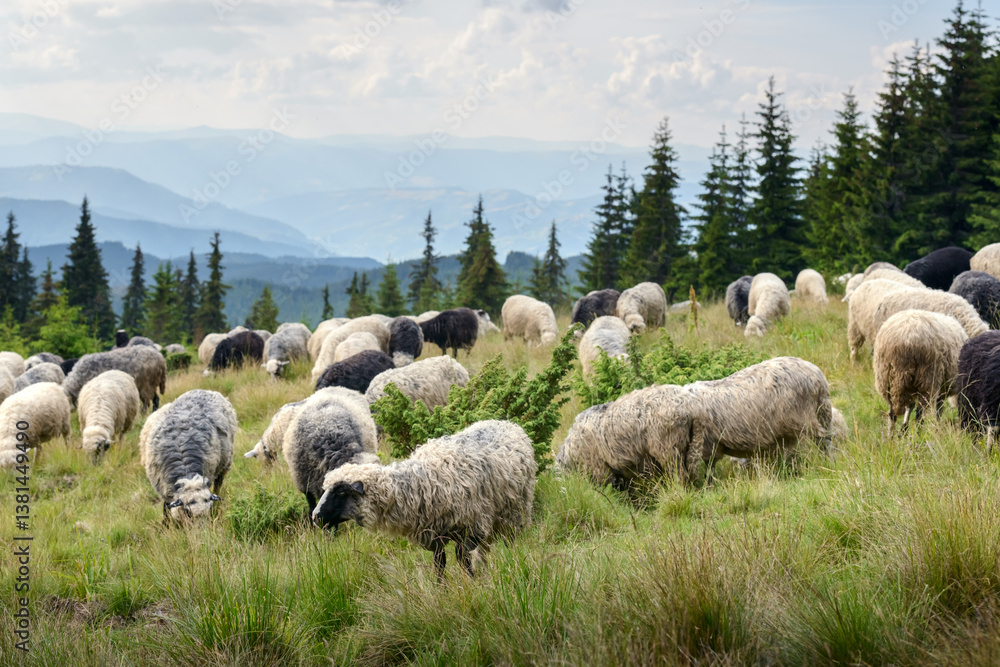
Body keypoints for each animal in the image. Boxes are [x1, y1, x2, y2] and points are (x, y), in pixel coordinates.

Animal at [140, 390, 235, 522]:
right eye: (187, 512)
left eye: (209, 508)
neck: (186, 469)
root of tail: (202, 390)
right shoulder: (164, 490)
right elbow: (166, 508)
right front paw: (166, 524)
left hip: (225, 462)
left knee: (218, 484)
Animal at [313, 419, 536, 577]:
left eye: (341, 492)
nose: (315, 517)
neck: (418, 484)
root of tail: (507, 423)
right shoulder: (434, 535)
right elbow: (440, 564)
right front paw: (443, 591)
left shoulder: (475, 525)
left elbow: (461, 558)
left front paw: (473, 585)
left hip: (515, 510)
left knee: (509, 540)